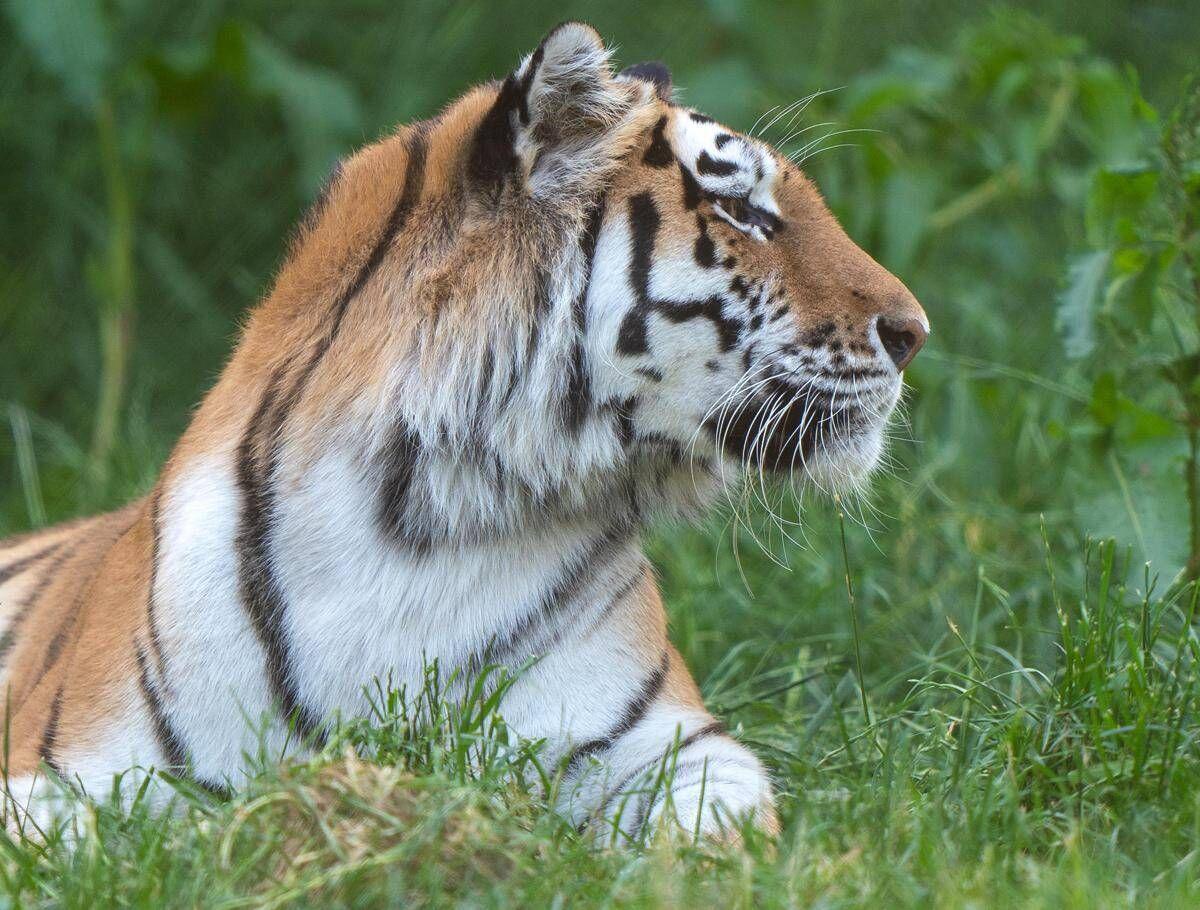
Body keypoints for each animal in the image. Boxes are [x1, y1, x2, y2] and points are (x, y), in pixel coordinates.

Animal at [0, 22, 927, 841]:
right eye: (741, 210)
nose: (915, 332)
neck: (425, 521)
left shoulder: (667, 742)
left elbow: (715, 825)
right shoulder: (65, 773)